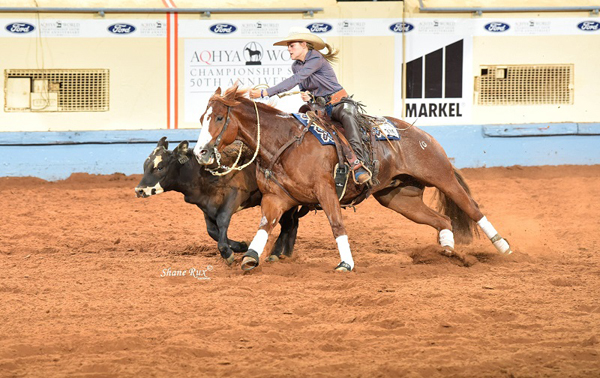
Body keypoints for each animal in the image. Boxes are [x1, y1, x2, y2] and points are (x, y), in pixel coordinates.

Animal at [133, 137, 298, 264]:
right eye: (145, 166)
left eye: (160, 167)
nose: (139, 190)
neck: (207, 172)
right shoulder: (205, 206)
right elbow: (212, 230)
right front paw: (240, 246)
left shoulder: (233, 197)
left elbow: (222, 220)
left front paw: (227, 252)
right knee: (292, 223)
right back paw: (287, 251)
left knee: (287, 224)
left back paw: (276, 252)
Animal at [192, 86, 510, 272]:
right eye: (201, 118)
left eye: (218, 118)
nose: (200, 152)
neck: (286, 142)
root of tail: (423, 135)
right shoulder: (275, 198)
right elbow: (265, 226)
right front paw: (251, 257)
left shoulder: (326, 191)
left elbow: (337, 225)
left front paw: (346, 262)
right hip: (400, 198)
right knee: (442, 220)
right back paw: (447, 253)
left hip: (442, 177)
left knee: (472, 209)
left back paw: (504, 248)